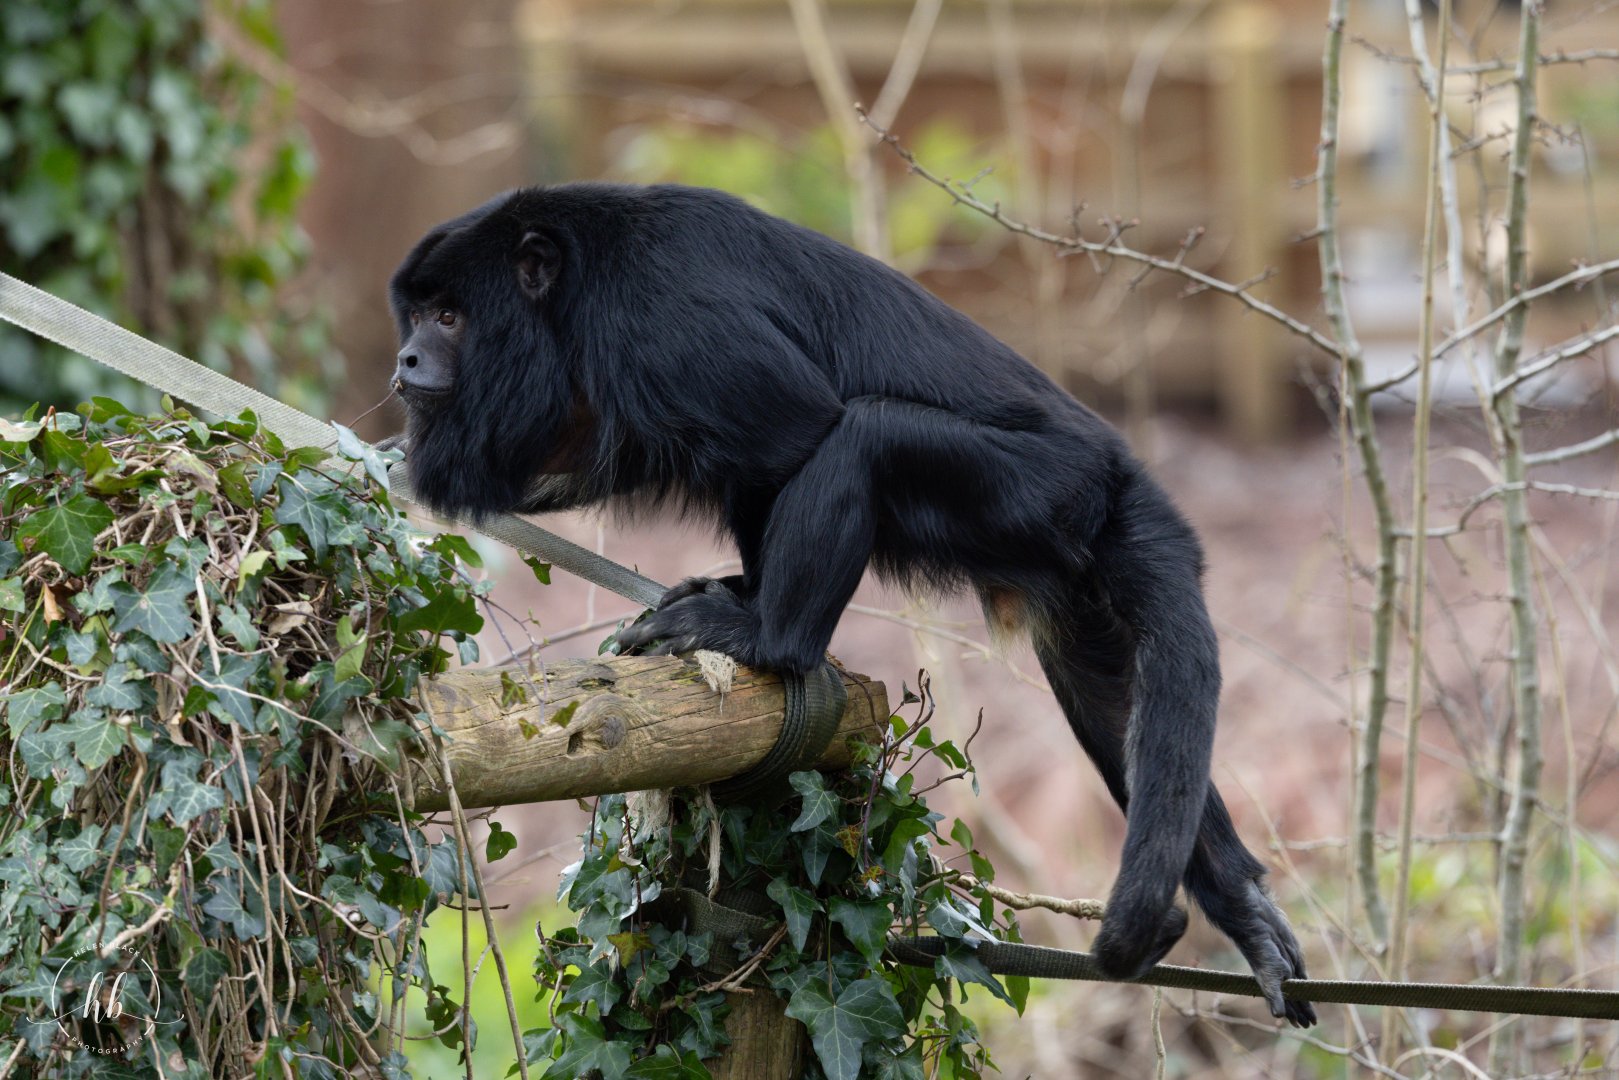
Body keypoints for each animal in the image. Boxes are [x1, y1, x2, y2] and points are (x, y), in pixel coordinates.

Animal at [385, 183, 1316, 1026]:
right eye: (416, 315)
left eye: (450, 317)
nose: (403, 362)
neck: (575, 291)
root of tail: (1116, 470)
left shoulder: (661, 323)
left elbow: (795, 432)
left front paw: (756, 622)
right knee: (1112, 703)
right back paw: (1241, 905)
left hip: (1035, 490)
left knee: (861, 433)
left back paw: (774, 638)